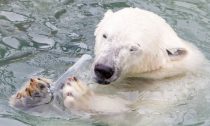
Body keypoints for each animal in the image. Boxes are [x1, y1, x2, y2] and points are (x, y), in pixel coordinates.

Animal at [9, 7, 206, 115]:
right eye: (105, 35)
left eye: (133, 48)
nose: (103, 69)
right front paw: (34, 91)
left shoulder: (170, 93)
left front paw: (81, 95)